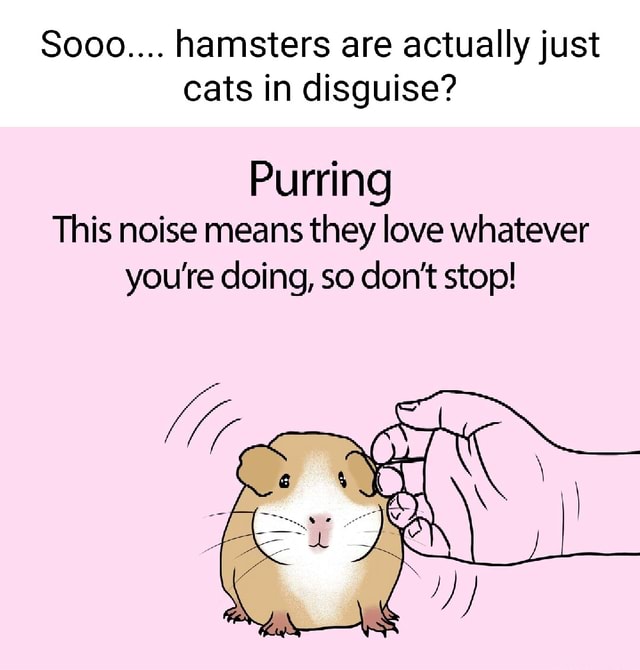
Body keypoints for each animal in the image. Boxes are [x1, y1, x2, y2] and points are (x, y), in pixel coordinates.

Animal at [220, 432, 402, 637]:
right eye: (284, 481)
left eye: (343, 480)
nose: (320, 520)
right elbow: (277, 608)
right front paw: (280, 631)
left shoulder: (378, 583)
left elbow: (371, 604)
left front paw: (383, 628)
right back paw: (235, 615)